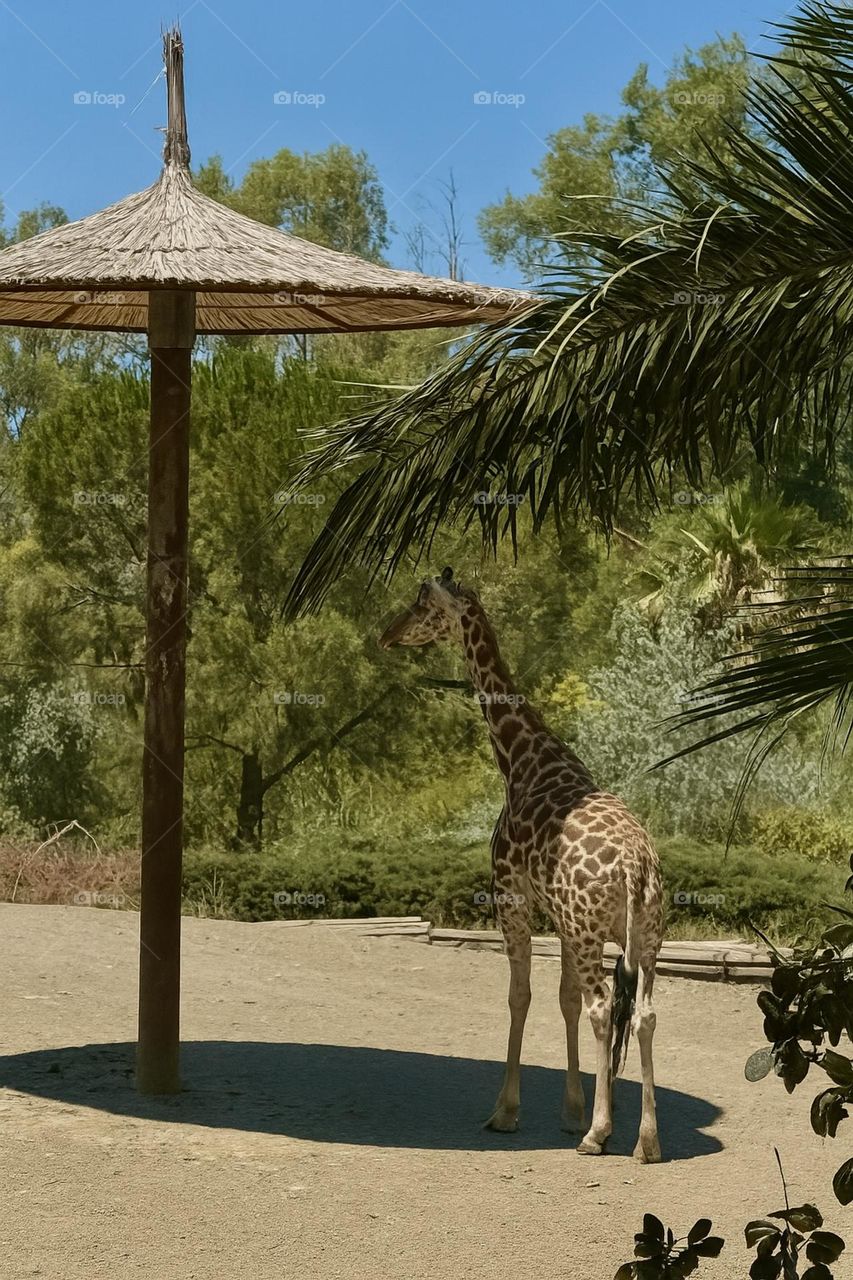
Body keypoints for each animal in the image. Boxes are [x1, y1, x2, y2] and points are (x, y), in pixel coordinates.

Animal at [380, 567, 663, 1162]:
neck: (520, 756)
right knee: (643, 1013)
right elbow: (563, 1000)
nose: (387, 634)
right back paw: (646, 1141)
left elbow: (520, 996)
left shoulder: (510, 897)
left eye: (421, 603)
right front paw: (570, 1110)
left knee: (605, 1007)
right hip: (646, 937)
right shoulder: (558, 917)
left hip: (590, 930)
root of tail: (635, 869)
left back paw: (600, 1135)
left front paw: (507, 1112)